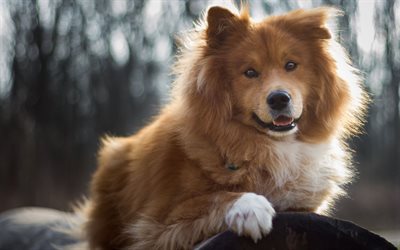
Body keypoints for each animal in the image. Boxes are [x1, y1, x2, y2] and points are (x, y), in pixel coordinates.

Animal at [83, 4, 368, 250]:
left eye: (290, 65)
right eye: (250, 72)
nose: (279, 98)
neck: (268, 145)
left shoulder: (305, 208)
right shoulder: (156, 223)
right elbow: (215, 197)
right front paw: (250, 208)